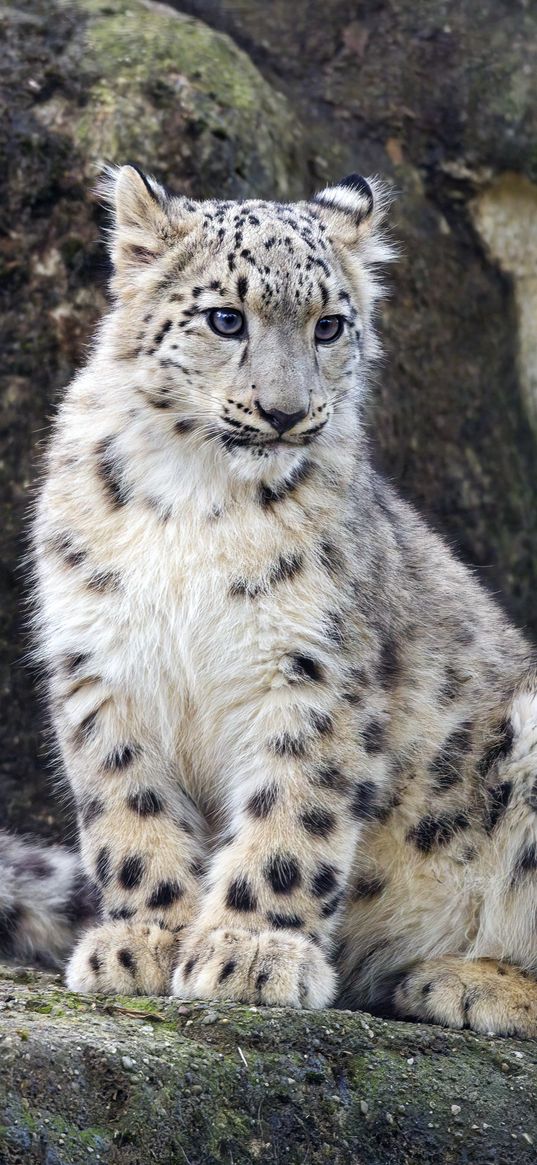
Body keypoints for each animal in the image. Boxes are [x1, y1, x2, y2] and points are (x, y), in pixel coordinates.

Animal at [2, 166, 533, 1039]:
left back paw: (465, 980)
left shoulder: (313, 668)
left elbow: (291, 814)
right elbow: (129, 809)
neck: (194, 495)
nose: (284, 411)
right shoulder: (104, 662)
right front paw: (142, 939)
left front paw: (249, 953)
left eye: (328, 325)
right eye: (226, 317)